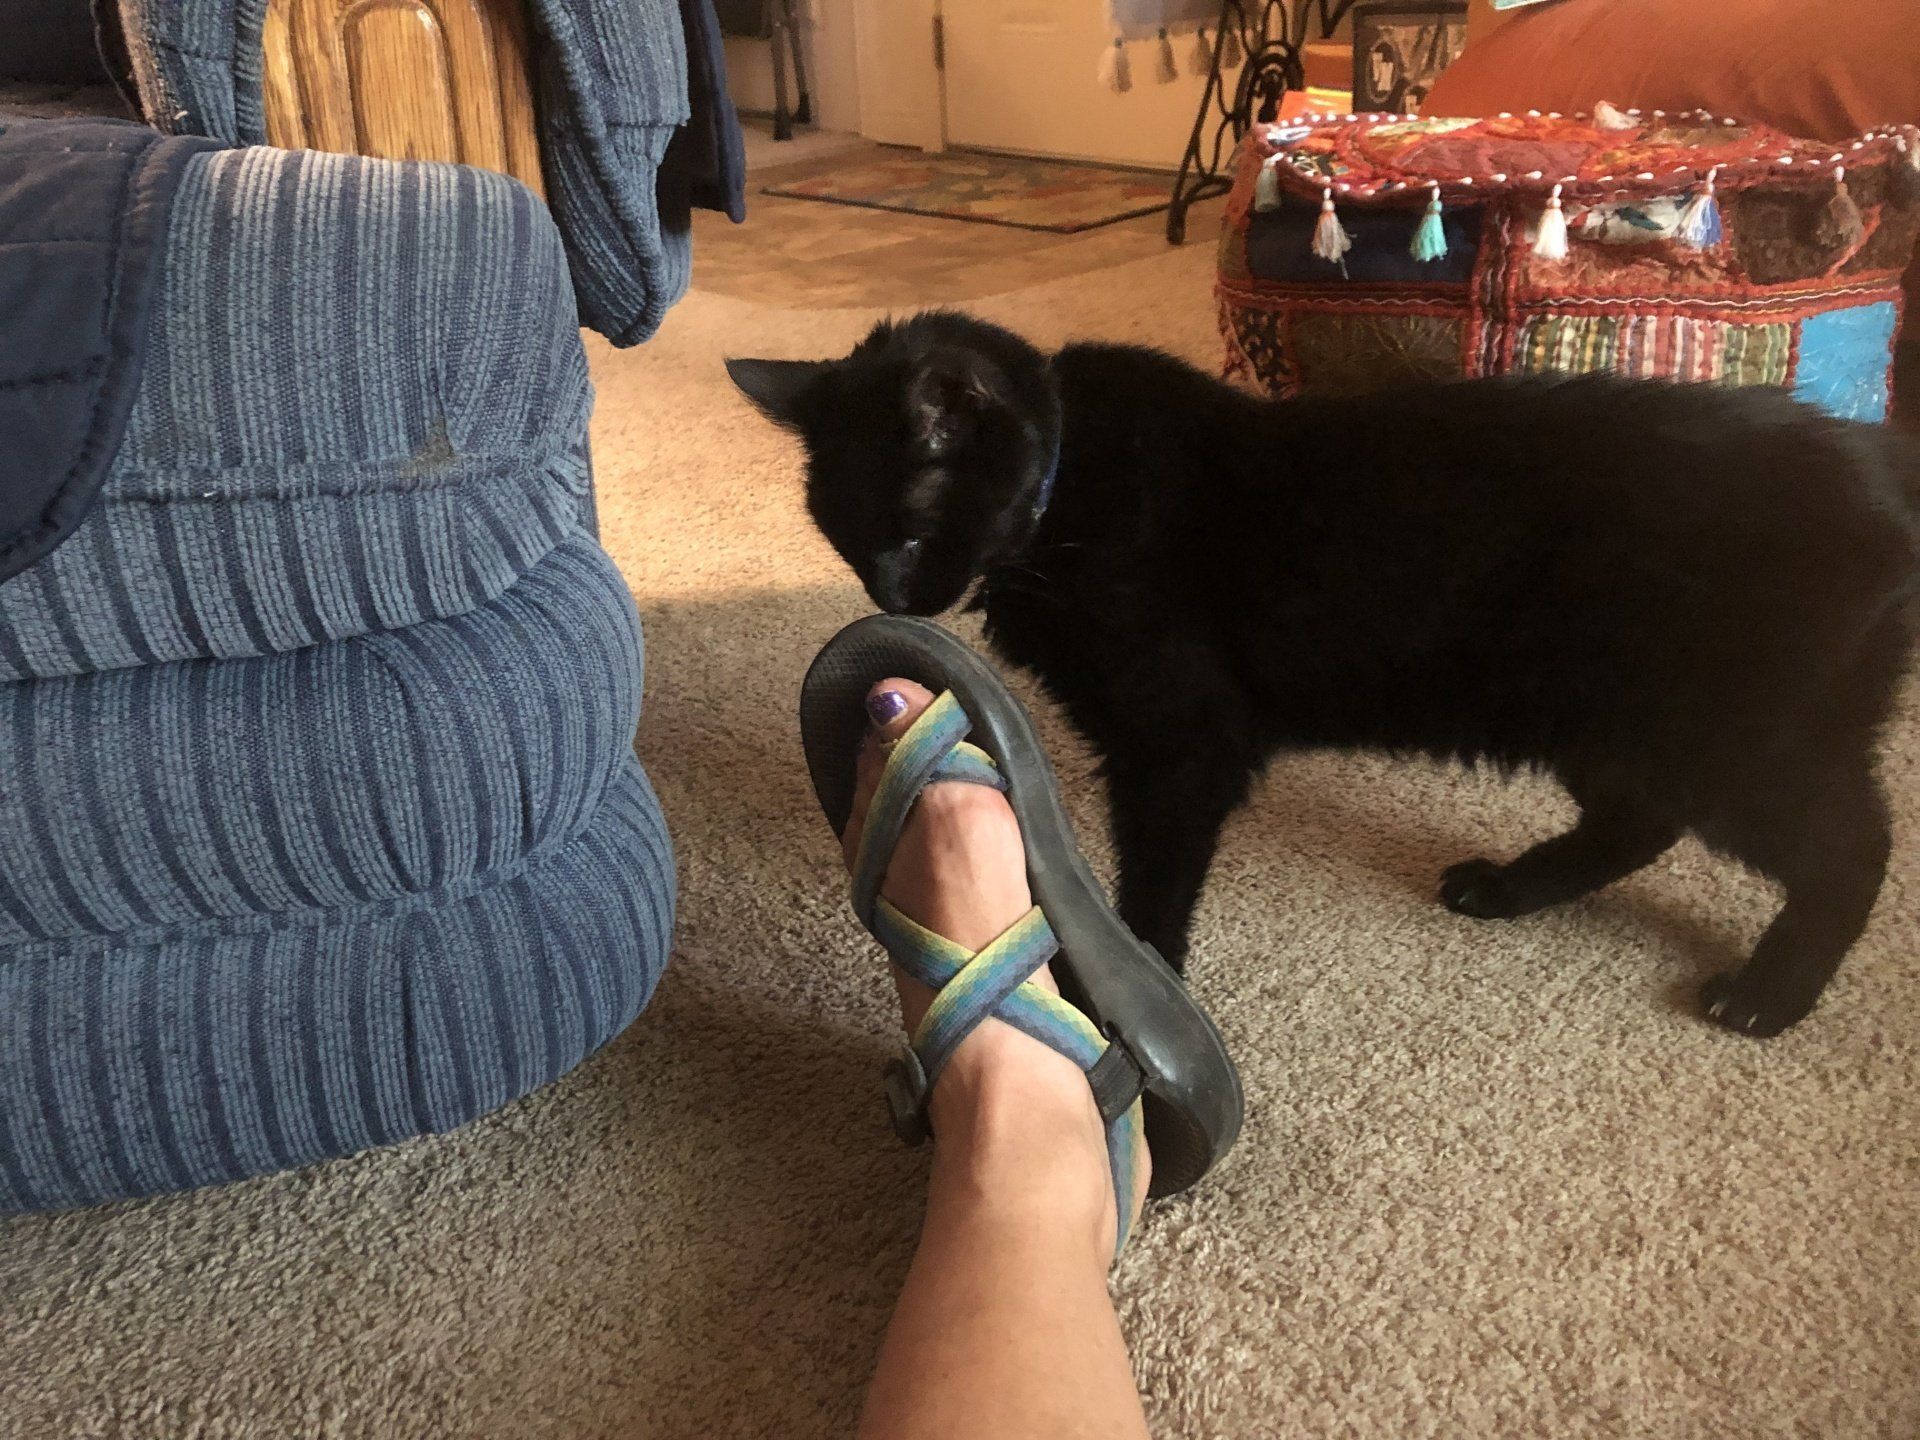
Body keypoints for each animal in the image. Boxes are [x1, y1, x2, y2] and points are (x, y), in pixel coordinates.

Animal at [730, 311, 1919, 1038]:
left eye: (909, 532)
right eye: (846, 537)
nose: (891, 599)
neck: (1066, 496)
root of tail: (1878, 459)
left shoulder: (1181, 744)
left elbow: (1156, 877)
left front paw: (1137, 985)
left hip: (1739, 739)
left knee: (1854, 849)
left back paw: (1770, 991)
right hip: (1604, 723)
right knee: (1640, 822)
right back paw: (1509, 887)